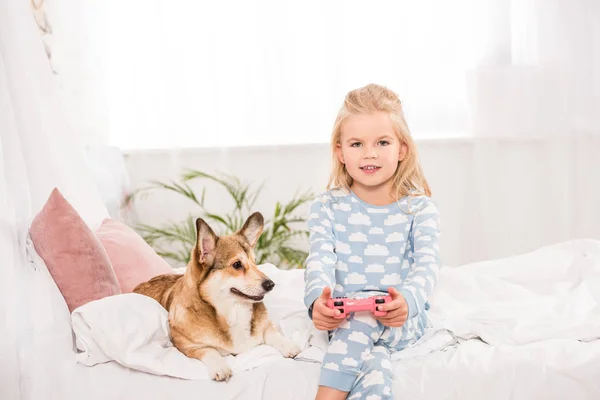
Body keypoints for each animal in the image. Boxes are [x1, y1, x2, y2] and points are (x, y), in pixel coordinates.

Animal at [131, 212, 300, 382]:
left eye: (255, 262)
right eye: (237, 264)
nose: (271, 285)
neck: (234, 310)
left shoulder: (266, 326)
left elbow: (272, 333)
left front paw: (289, 346)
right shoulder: (186, 344)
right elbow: (209, 350)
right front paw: (221, 367)